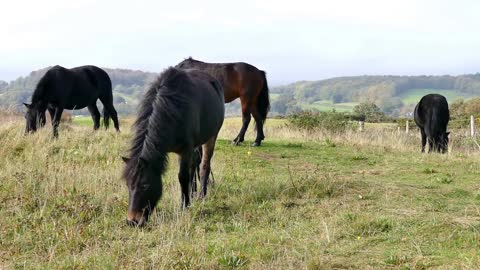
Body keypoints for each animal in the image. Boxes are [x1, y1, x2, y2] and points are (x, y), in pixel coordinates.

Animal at [121, 67, 224, 226]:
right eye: (127, 185)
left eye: (145, 185)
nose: (133, 221)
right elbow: (188, 173)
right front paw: (188, 199)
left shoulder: (185, 149)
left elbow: (183, 177)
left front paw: (184, 206)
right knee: (195, 165)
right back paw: (193, 193)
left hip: (211, 137)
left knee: (204, 166)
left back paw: (201, 195)